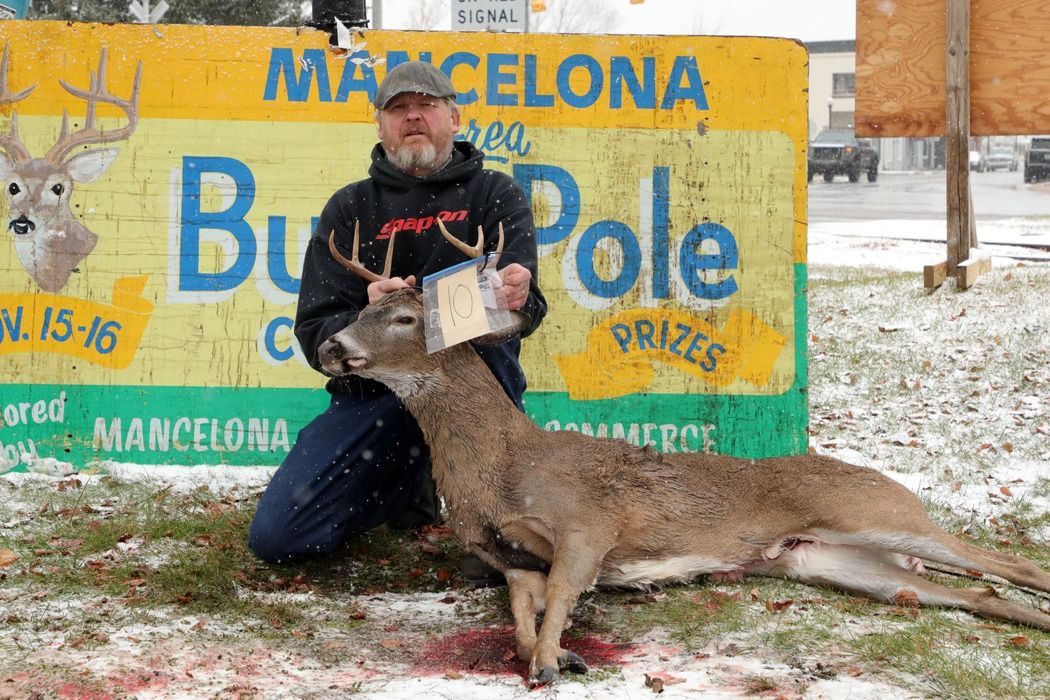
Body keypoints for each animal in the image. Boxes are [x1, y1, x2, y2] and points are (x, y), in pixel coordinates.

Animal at [317, 221, 1050, 685]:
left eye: (405, 319)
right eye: (357, 310)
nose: (329, 345)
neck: (500, 469)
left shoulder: (588, 522)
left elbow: (560, 597)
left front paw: (555, 661)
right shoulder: (509, 560)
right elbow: (524, 615)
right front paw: (552, 654)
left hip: (876, 512)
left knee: (1005, 562)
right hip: (834, 562)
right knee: (978, 595)